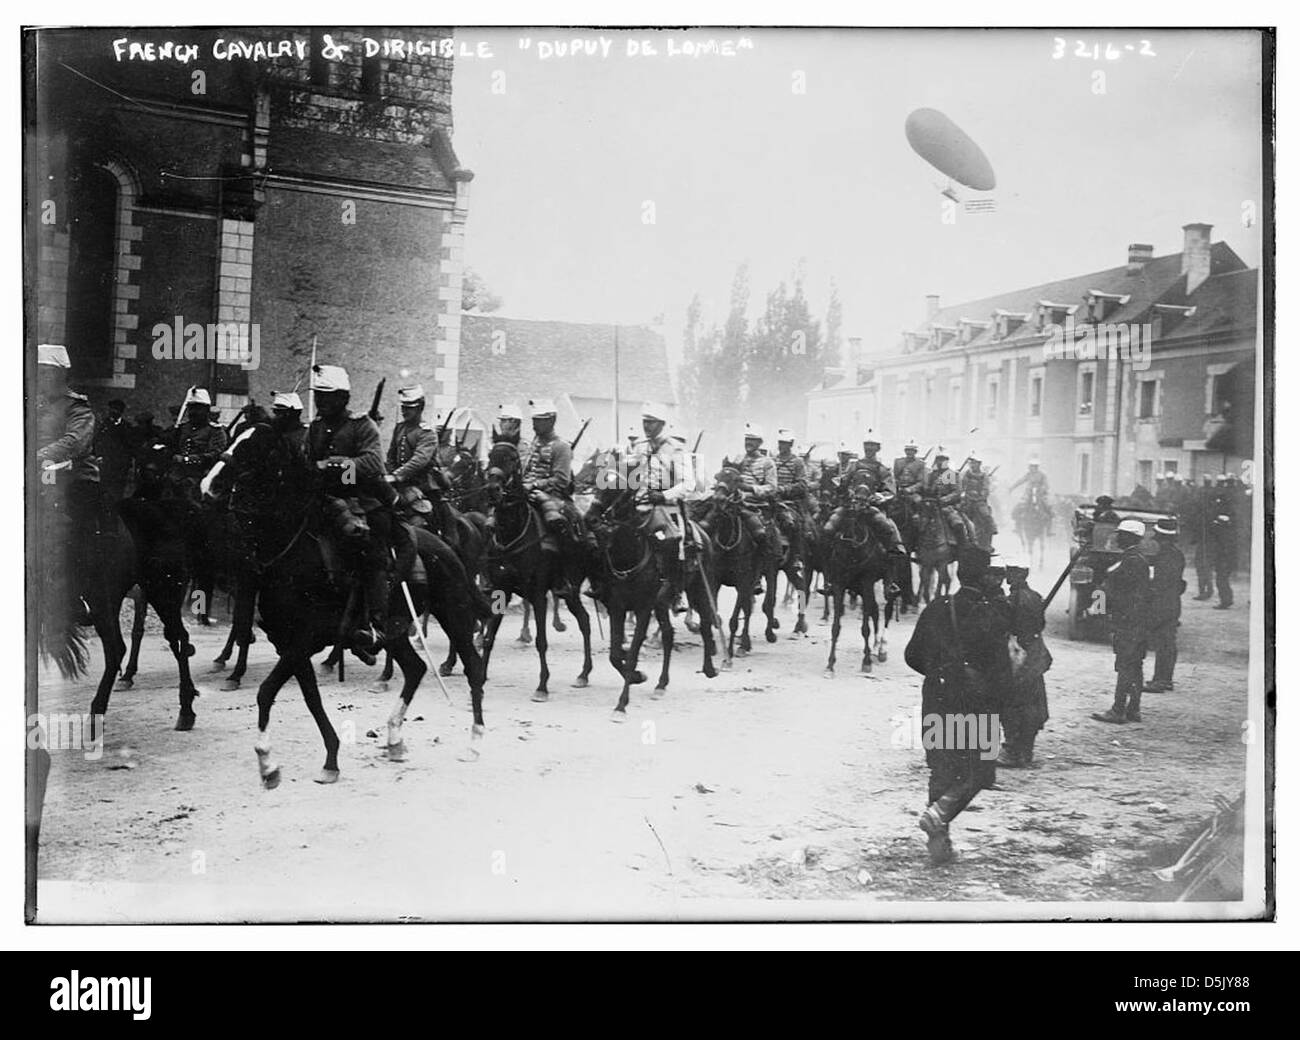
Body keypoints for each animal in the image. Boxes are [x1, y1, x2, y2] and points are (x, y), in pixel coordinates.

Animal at [202, 418, 488, 785]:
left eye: (253, 448)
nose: (208, 485)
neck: (294, 551)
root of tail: (446, 545)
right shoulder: (289, 644)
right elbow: (310, 698)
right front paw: (329, 759)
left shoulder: (305, 639)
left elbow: (266, 690)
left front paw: (267, 762)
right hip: (395, 630)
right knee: (415, 668)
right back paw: (394, 738)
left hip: (454, 614)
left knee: (473, 667)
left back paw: (474, 741)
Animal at [480, 441, 595, 702]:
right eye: (491, 455)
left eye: (512, 459)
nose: (492, 488)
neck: (513, 532)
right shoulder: (500, 592)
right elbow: (489, 638)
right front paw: (479, 678)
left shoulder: (539, 594)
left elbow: (541, 641)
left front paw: (542, 686)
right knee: (584, 619)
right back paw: (584, 674)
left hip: (571, 589)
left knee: (585, 622)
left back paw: (584, 674)